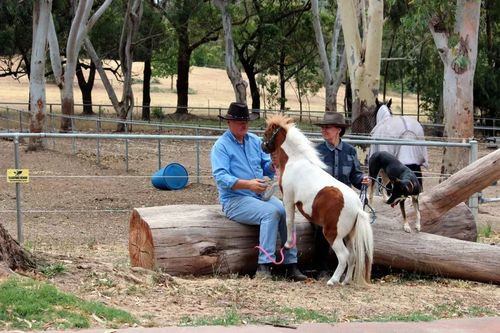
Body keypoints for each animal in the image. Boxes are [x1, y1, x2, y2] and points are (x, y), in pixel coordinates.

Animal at [264, 115, 374, 286]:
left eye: (266, 133)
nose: (263, 147)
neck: (296, 161)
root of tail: (357, 208)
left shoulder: (288, 197)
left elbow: (289, 220)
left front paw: (288, 244)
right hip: (349, 236)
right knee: (352, 256)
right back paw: (345, 281)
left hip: (333, 234)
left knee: (343, 256)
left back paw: (332, 280)